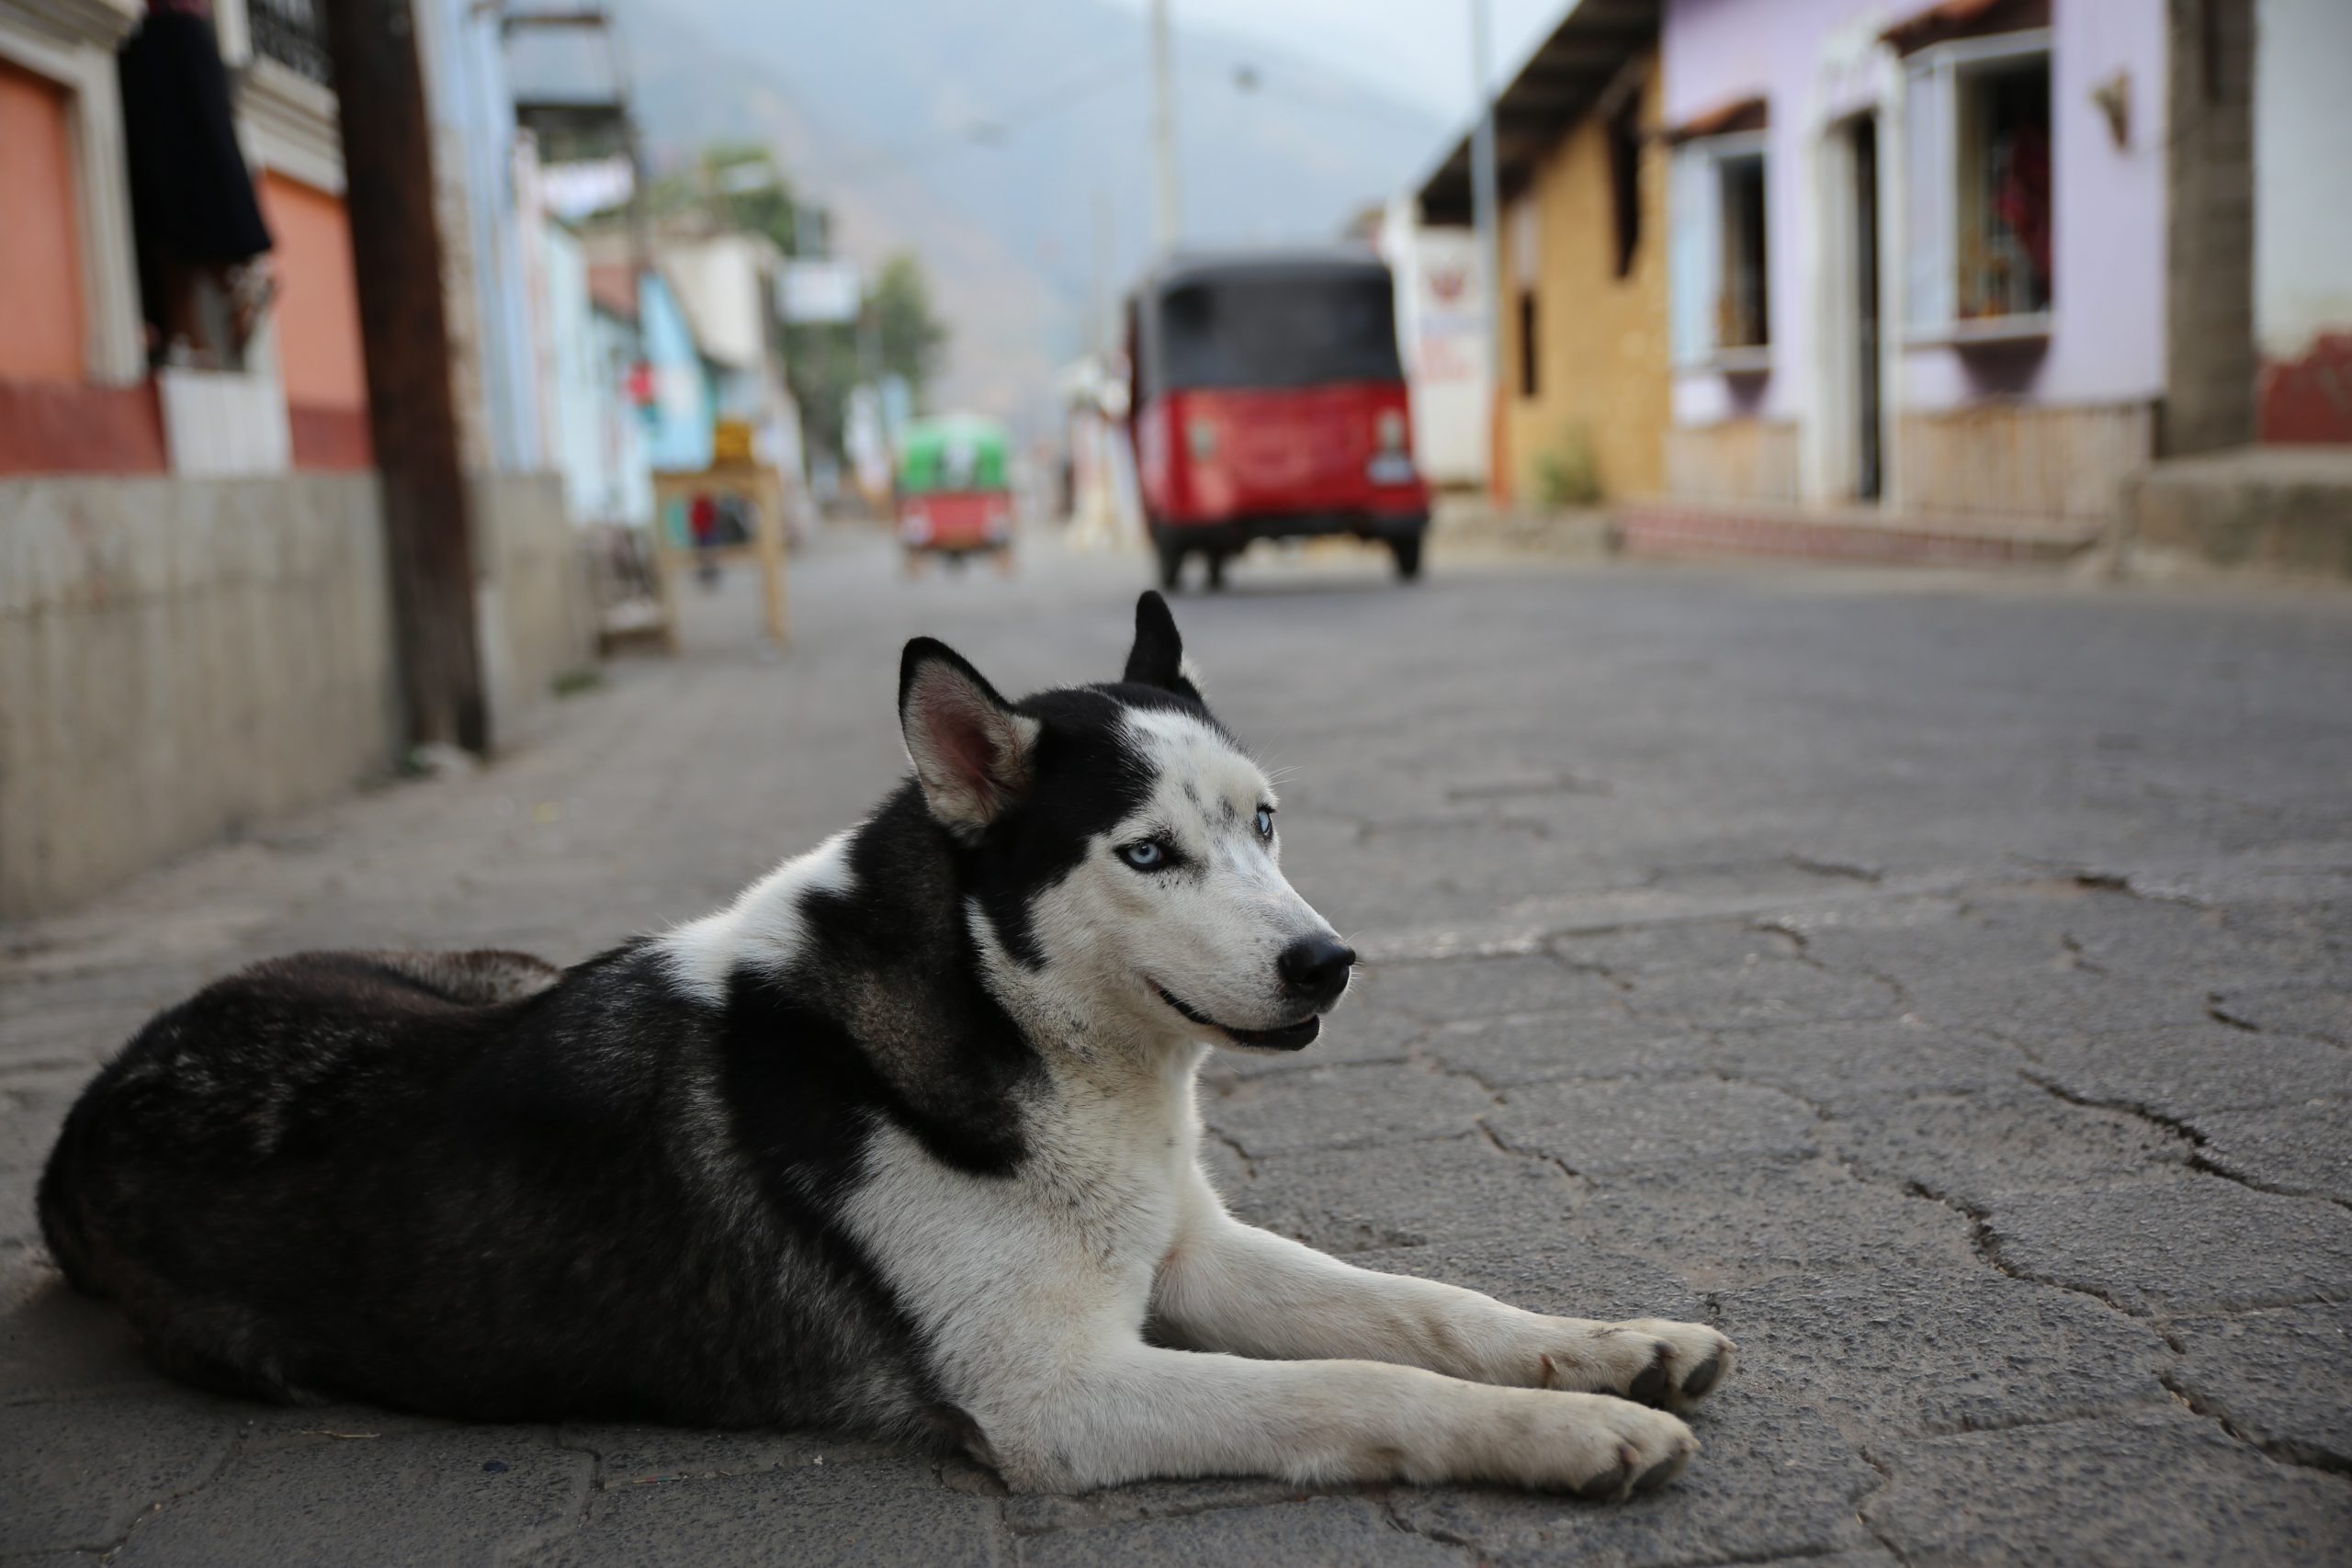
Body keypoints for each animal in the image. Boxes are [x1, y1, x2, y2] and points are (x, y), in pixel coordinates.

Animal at [39, 592, 1731, 1499]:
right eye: (1147, 854)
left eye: (1264, 822)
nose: (1329, 959)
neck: (1012, 1028)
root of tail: (87, 1110)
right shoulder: (1056, 1398)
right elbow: (1360, 1387)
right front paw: (1573, 1430)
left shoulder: (1187, 1252)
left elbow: (1425, 1309)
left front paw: (1607, 1346)